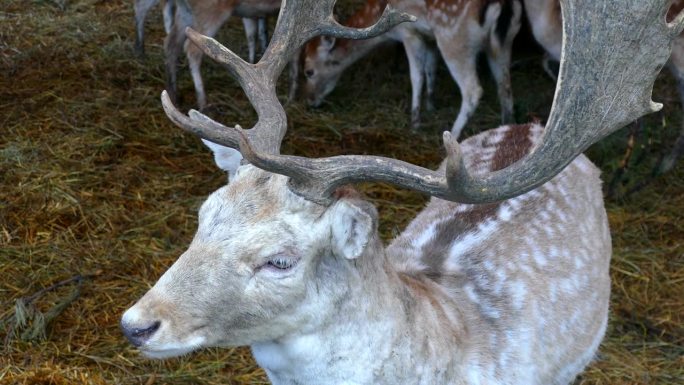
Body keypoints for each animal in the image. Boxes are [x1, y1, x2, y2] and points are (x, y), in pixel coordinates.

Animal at [304, 0, 524, 138]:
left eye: (309, 71)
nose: (310, 100)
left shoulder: (409, 31)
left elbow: (417, 76)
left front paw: (415, 122)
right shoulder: (430, 37)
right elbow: (431, 69)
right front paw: (431, 105)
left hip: (453, 37)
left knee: (473, 90)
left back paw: (451, 136)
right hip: (503, 43)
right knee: (505, 85)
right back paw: (508, 126)